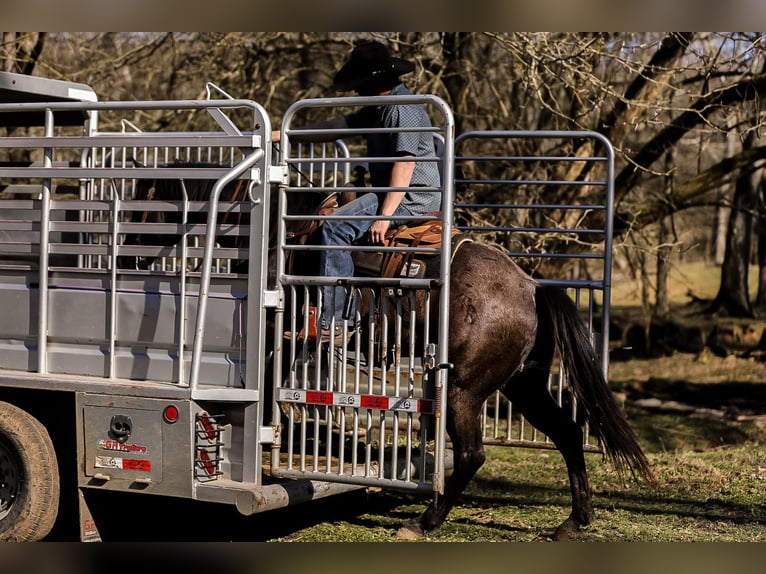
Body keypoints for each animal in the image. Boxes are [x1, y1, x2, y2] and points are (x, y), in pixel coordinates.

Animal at [120, 168, 653, 541]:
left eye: (140, 207)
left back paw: (425, 521)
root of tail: (531, 287)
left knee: (473, 454)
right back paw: (574, 521)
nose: (128, 258)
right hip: (523, 384)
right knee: (567, 432)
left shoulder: (278, 335)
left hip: (466, 390)